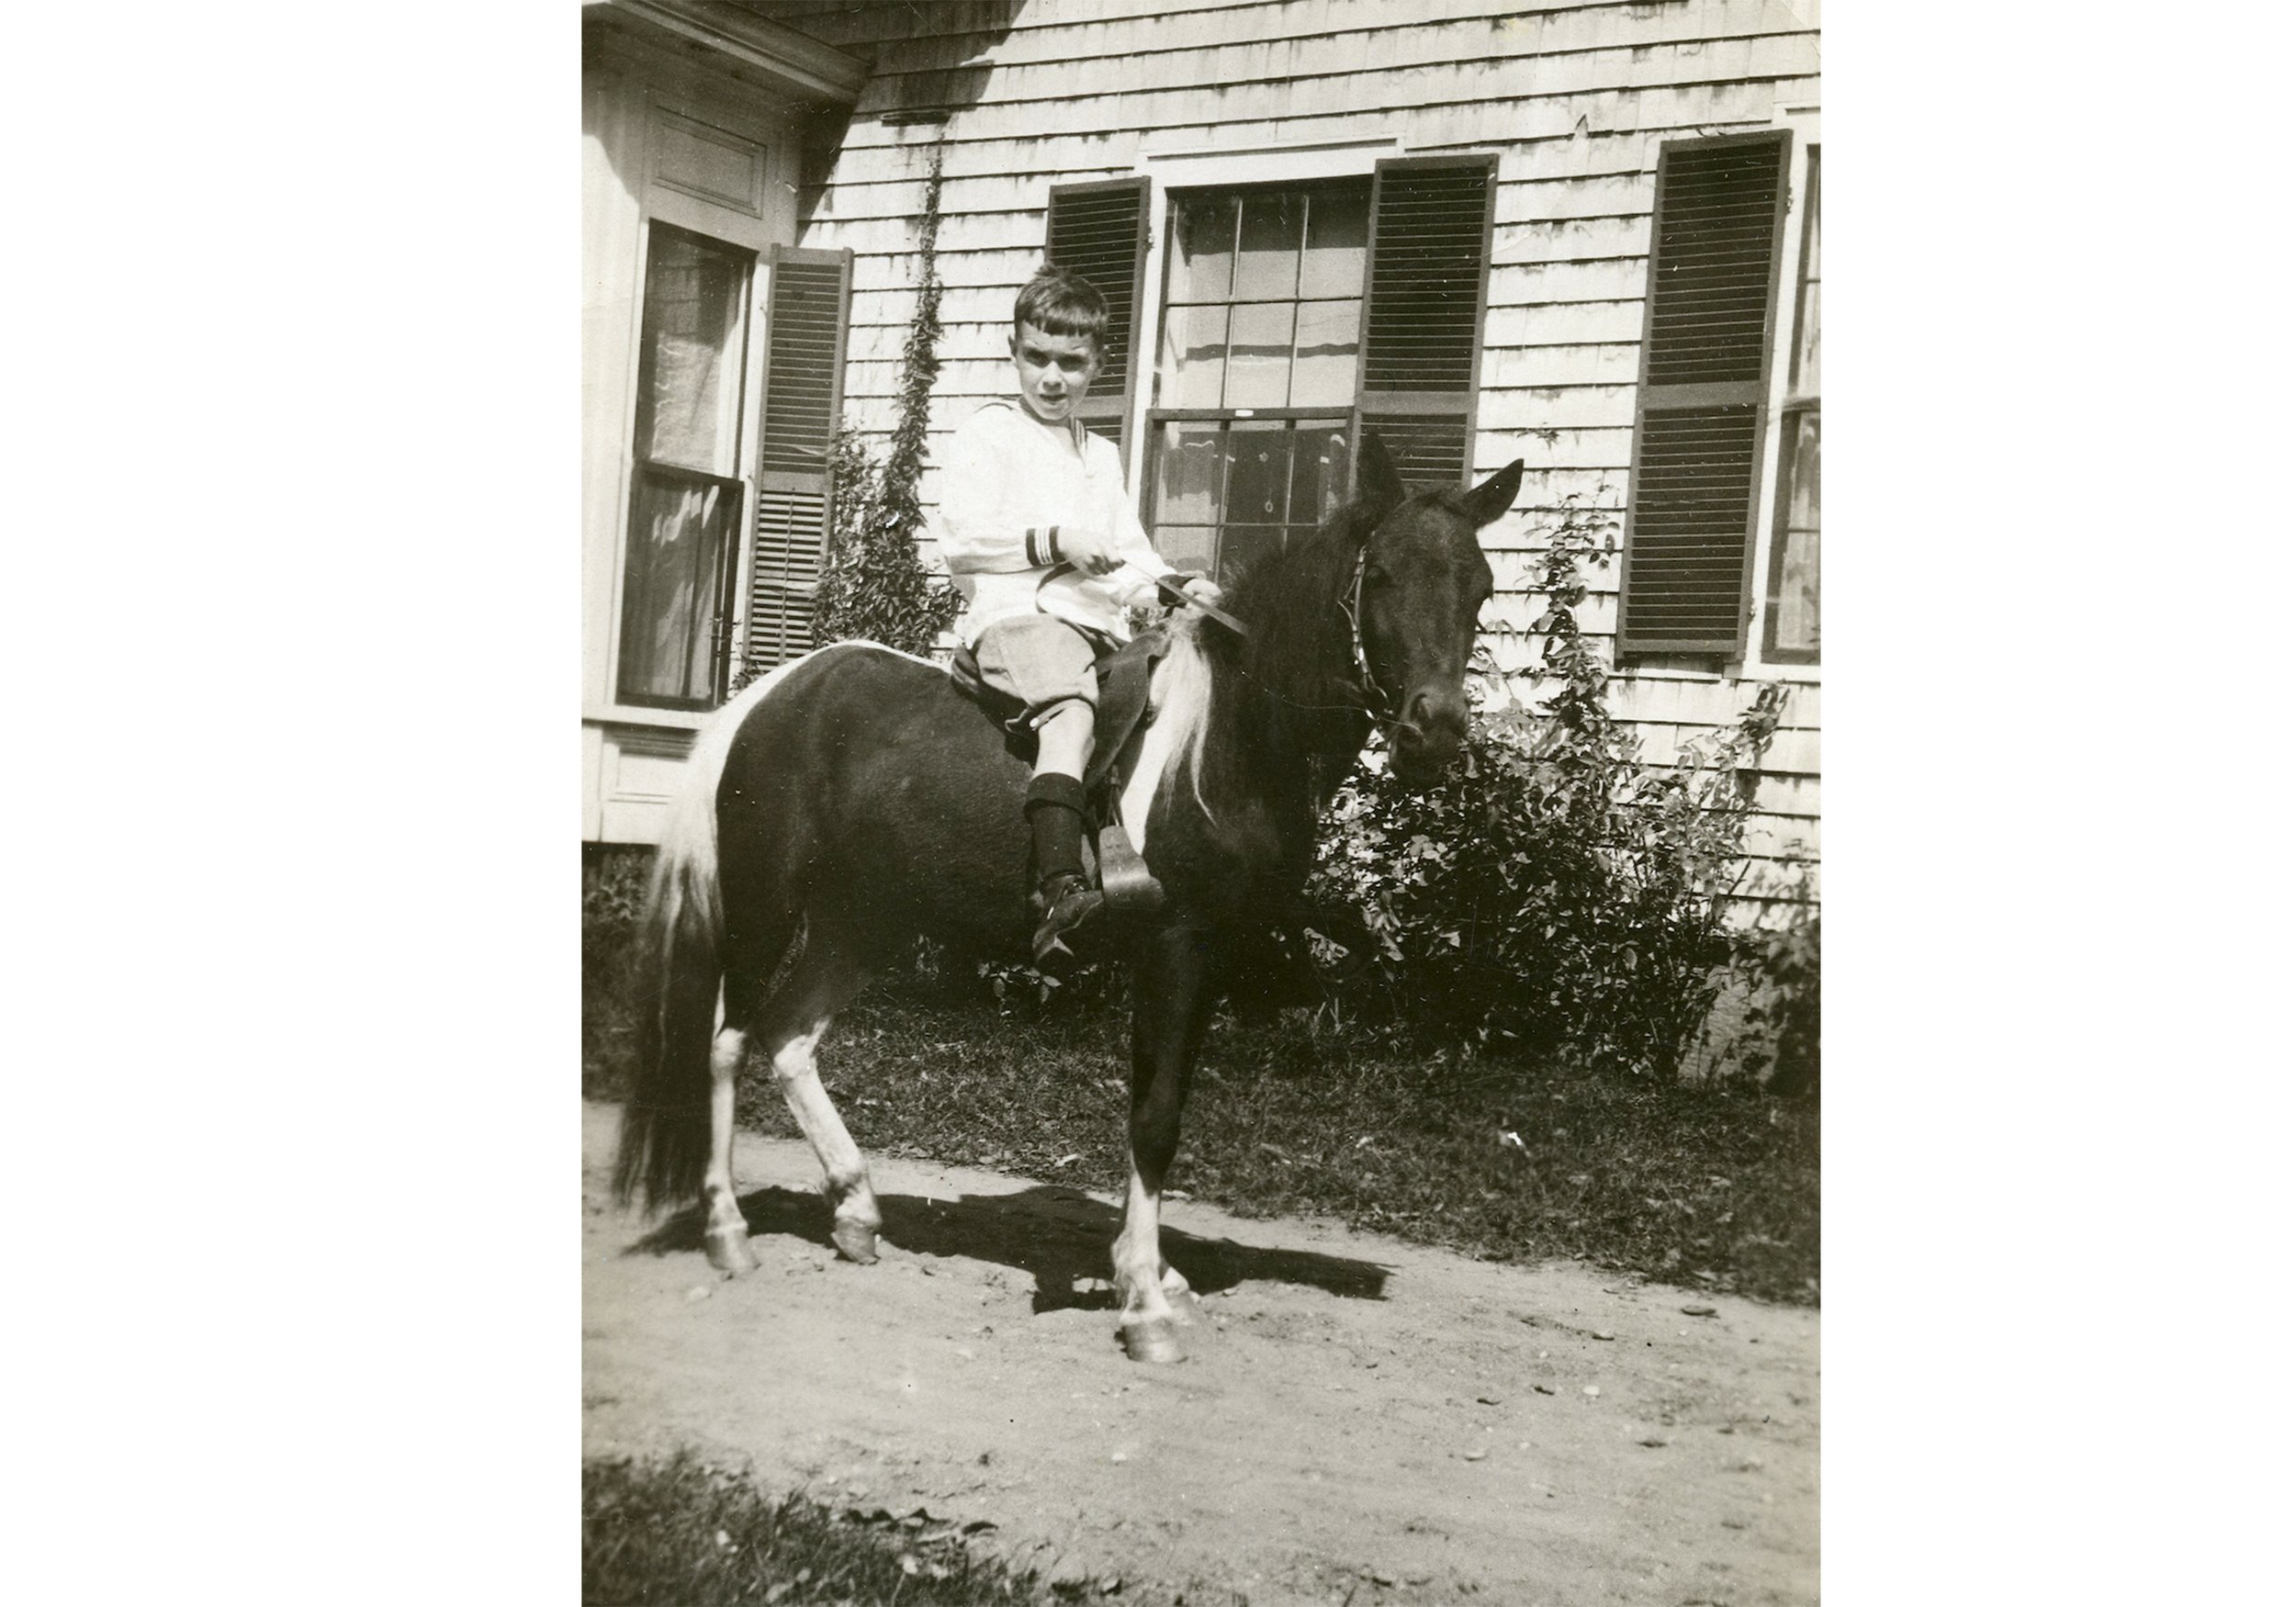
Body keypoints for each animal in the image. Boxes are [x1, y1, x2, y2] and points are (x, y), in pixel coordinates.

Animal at [620, 445, 1534, 1359]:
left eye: (1482, 586)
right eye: (1379, 576)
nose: (1434, 731)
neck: (1224, 738)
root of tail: (769, 697)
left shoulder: (1202, 962)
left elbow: (1158, 1106)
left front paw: (1144, 1270)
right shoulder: (1174, 948)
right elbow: (1155, 1119)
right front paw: (1146, 1307)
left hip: (860, 924)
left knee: (790, 1040)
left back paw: (856, 1209)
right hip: (764, 906)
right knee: (728, 1045)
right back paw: (729, 1230)